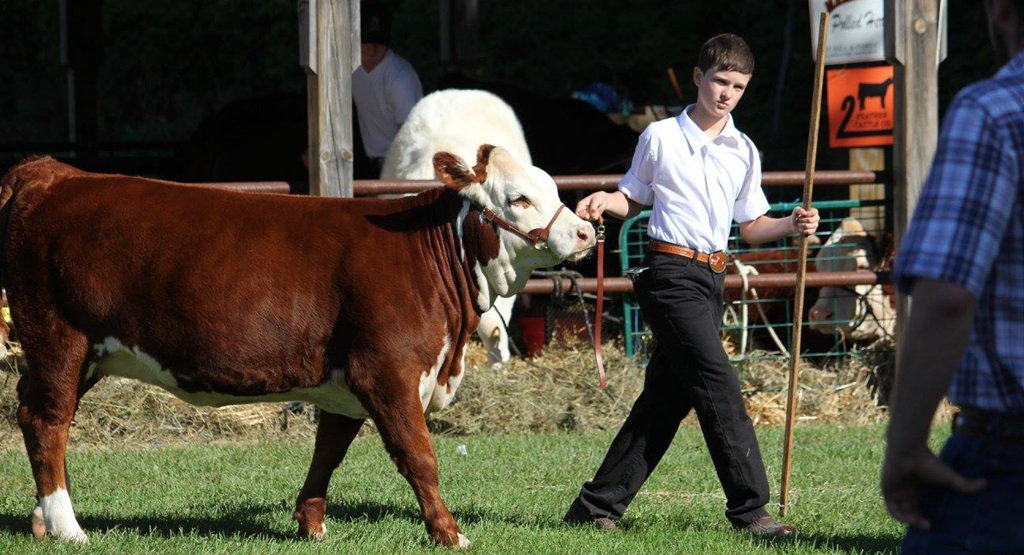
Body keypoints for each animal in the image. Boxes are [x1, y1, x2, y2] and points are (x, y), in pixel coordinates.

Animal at [0, 150, 595, 547]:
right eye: (519, 198)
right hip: (59, 338)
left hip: (80, 354)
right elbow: (419, 456)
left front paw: (312, 523)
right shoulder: (388, 371)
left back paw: (43, 520)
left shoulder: (345, 382)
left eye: (551, 188)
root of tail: (52, 172)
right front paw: (449, 533)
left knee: (41, 417)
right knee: (46, 420)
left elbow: (327, 452)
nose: (587, 232)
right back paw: (68, 526)